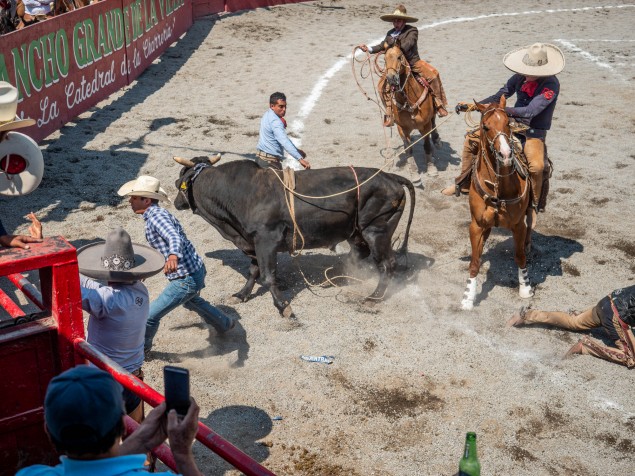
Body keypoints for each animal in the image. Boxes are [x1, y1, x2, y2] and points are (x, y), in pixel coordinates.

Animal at [173, 156, 418, 318]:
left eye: (179, 182)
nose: (176, 202)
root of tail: (390, 177)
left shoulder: (266, 240)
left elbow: (268, 276)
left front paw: (284, 307)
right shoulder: (252, 241)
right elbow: (253, 271)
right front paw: (241, 294)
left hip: (376, 230)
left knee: (387, 263)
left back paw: (373, 297)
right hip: (356, 231)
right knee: (360, 252)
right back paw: (334, 278)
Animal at [380, 41, 440, 187]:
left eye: (399, 57)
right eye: (384, 59)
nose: (391, 78)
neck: (409, 100)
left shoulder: (425, 125)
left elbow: (426, 145)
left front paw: (431, 169)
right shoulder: (402, 128)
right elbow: (408, 150)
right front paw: (415, 175)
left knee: (434, 123)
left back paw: (437, 140)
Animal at [460, 97, 536, 312]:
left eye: (508, 123)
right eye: (486, 126)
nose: (506, 154)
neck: (498, 189)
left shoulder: (518, 226)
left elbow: (519, 256)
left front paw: (525, 288)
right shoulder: (476, 225)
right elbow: (475, 262)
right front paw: (468, 297)